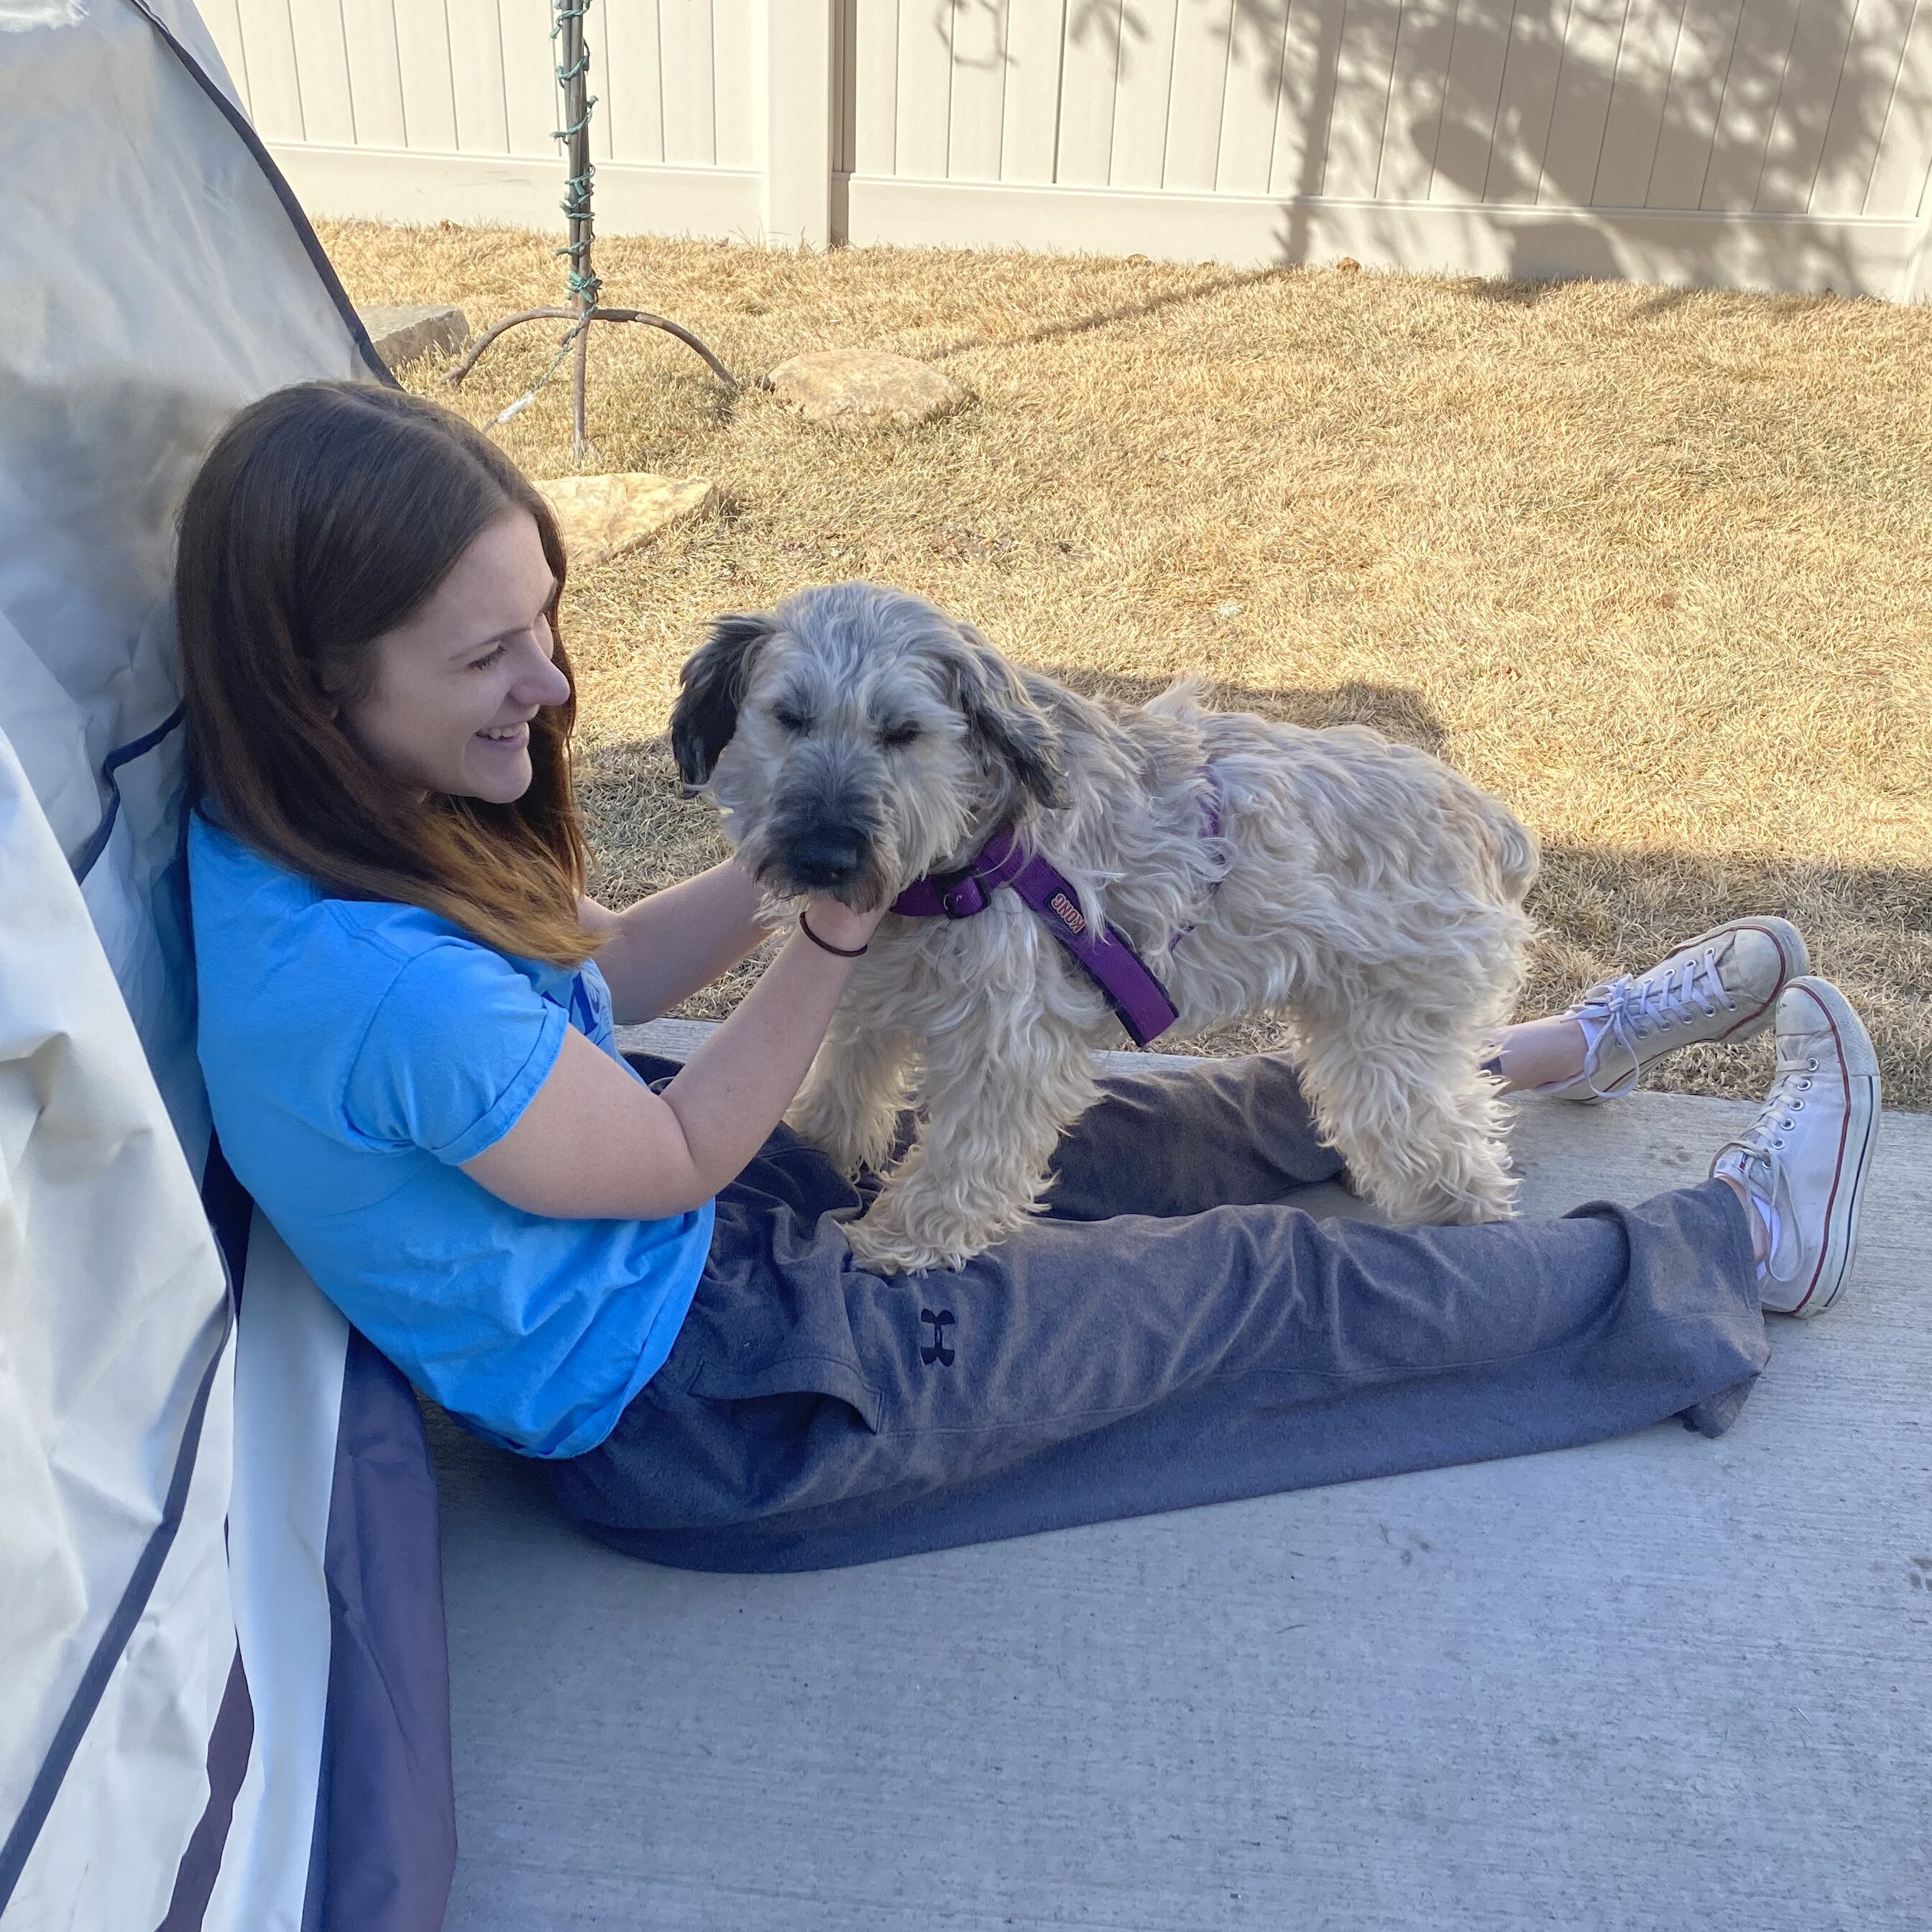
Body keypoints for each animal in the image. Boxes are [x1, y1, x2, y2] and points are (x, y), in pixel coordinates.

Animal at [680, 579, 1537, 1275]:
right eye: (790, 718)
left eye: (902, 732)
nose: (823, 857)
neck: (964, 859)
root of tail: (1488, 820)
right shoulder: (869, 996)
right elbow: (841, 1089)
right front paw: (811, 1152)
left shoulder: (1009, 1046)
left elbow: (965, 1155)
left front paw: (903, 1240)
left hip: (1390, 1053)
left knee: (1459, 1164)